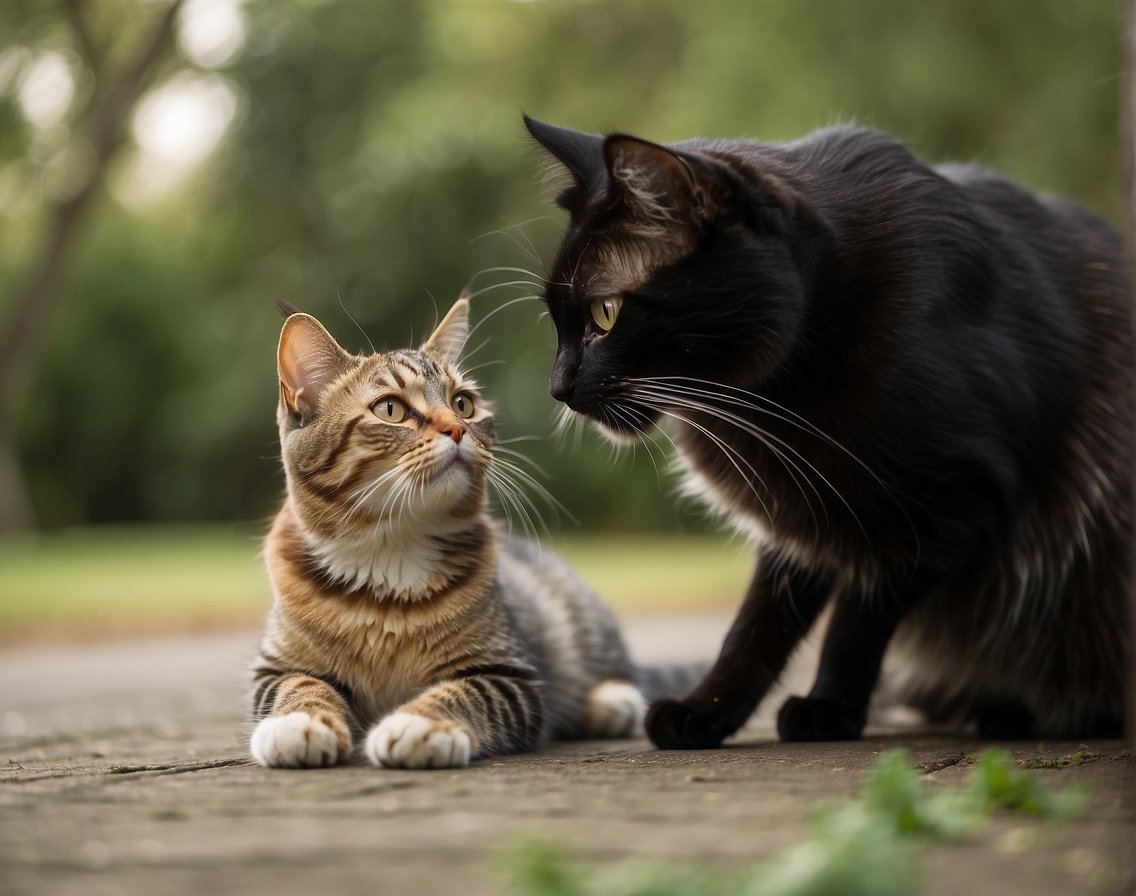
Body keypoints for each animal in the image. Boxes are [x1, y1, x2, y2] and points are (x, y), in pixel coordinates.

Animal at [249, 297, 690, 767]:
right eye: (390, 409)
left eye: (462, 404)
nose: (456, 427)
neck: (391, 551)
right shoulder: (276, 666)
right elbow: (298, 684)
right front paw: (299, 722)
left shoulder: (510, 674)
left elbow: (466, 693)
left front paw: (419, 724)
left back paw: (609, 701)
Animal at [527, 115, 1131, 744]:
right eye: (556, 319)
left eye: (605, 314)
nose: (557, 388)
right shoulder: (802, 512)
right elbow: (758, 625)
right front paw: (706, 710)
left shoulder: (951, 507)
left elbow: (856, 622)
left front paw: (828, 708)